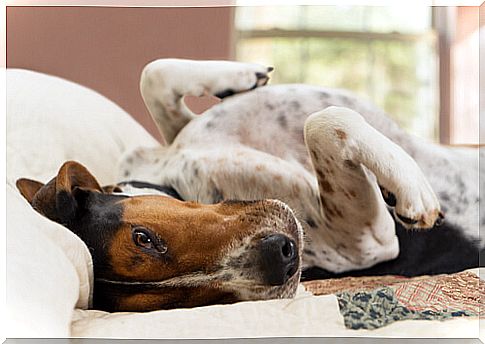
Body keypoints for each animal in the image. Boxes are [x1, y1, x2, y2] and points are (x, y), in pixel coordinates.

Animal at [119, 58, 482, 280]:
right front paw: (410, 187)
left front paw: (242, 76)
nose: (281, 250)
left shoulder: (181, 129)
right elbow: (325, 122)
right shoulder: (368, 240)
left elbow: (153, 74)